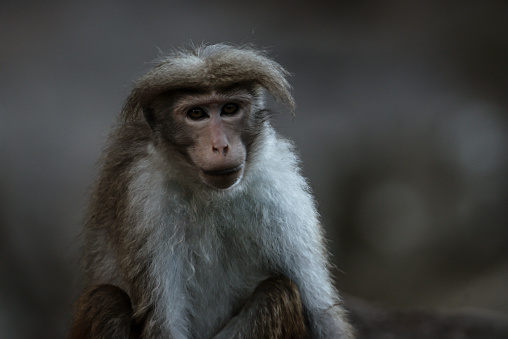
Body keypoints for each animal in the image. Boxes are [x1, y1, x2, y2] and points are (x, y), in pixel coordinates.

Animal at [70, 43, 354, 338]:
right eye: (196, 114)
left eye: (230, 108)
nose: (221, 146)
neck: (211, 195)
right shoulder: (144, 197)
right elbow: (163, 321)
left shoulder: (280, 188)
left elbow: (321, 312)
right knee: (106, 300)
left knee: (278, 292)